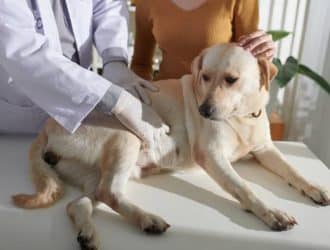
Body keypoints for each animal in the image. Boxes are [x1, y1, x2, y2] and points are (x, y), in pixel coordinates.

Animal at [11, 44, 328, 250]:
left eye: (231, 80)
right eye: (204, 76)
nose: (204, 111)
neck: (241, 117)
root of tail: (48, 126)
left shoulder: (265, 149)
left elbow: (293, 171)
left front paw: (315, 187)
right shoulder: (212, 156)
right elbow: (244, 188)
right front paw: (271, 213)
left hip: (98, 172)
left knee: (81, 202)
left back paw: (90, 232)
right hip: (127, 137)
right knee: (109, 192)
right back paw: (147, 219)